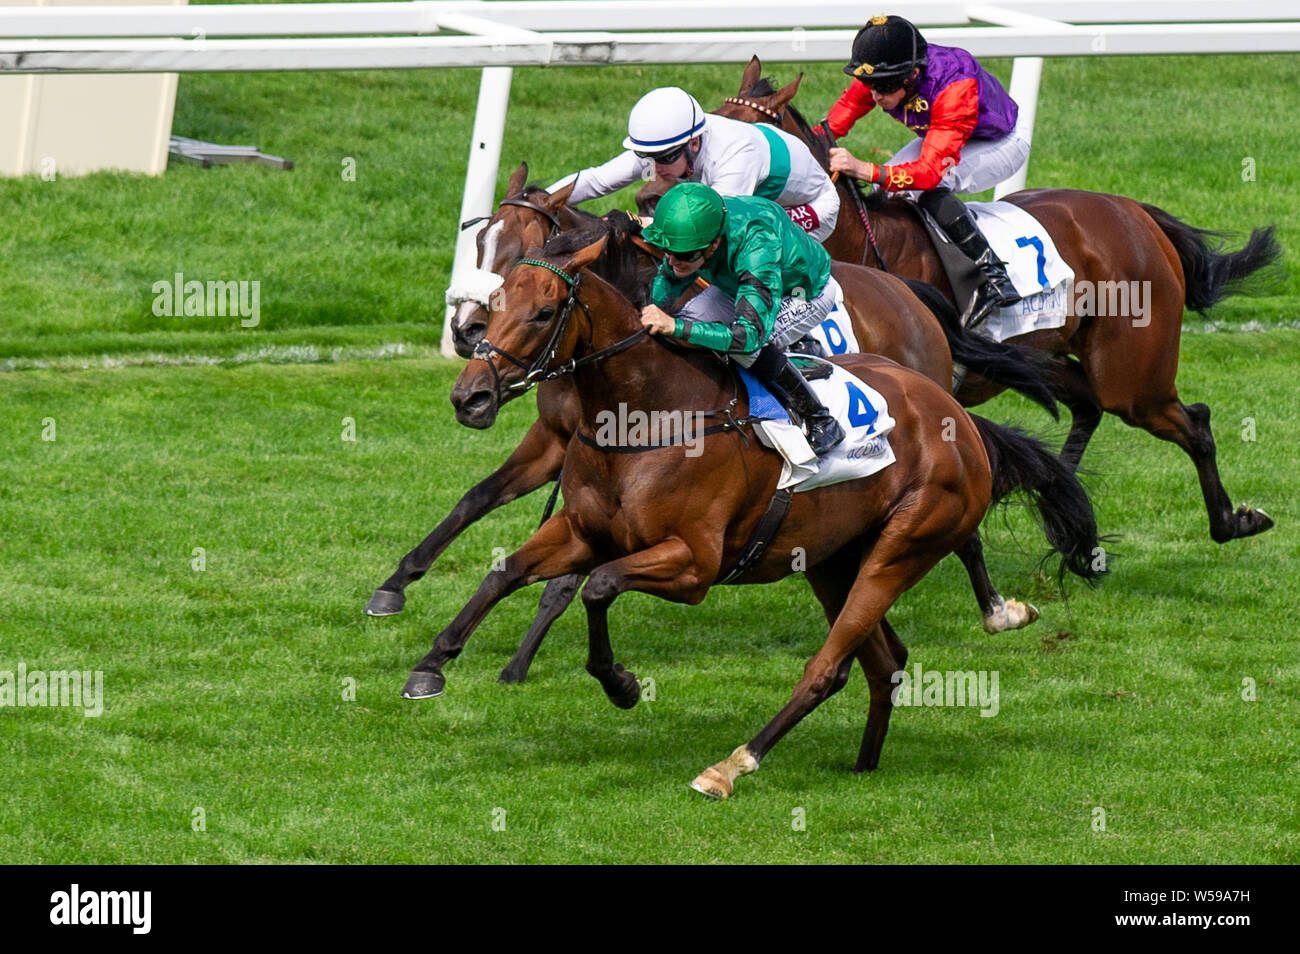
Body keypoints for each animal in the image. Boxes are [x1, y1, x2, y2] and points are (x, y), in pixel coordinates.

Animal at [400, 226, 1102, 800]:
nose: (470, 396)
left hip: (901, 548)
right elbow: (506, 572)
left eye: (545, 311)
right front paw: (430, 664)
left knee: (829, 666)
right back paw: (864, 764)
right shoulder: (581, 530)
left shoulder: (694, 565)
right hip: (830, 561)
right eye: (495, 304)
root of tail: (956, 417)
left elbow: (597, 588)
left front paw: (620, 683)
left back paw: (731, 766)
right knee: (882, 662)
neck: (649, 416)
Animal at [712, 57, 1279, 545]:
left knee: (1192, 420)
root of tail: (1134, 210)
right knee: (1089, 406)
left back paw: (1233, 521)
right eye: (710, 127)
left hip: (1134, 377)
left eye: (750, 140)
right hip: (1048, 358)